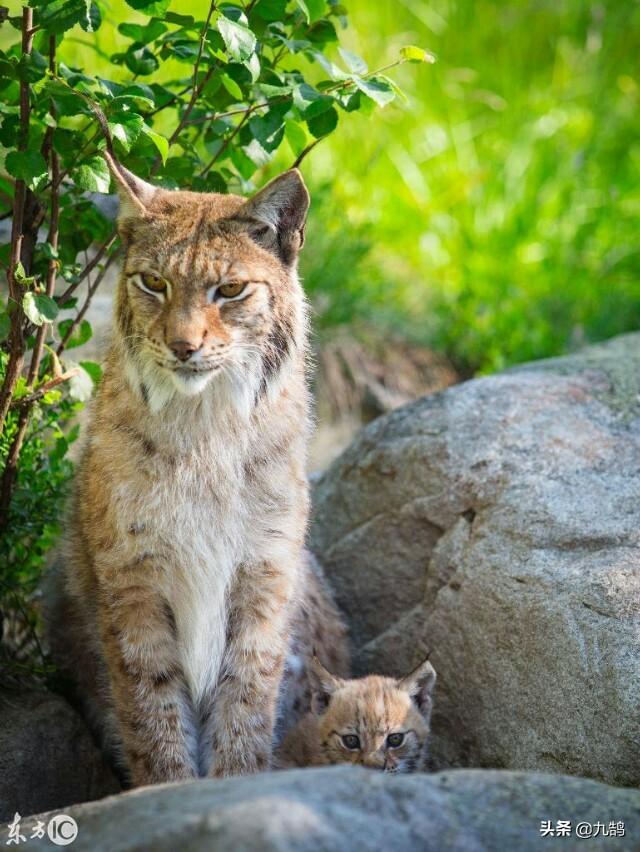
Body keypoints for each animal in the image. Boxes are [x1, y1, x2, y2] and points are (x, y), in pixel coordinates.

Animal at [47, 158, 348, 784]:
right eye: (153, 283)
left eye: (230, 289)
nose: (183, 347)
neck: (205, 424)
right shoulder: (132, 578)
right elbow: (151, 713)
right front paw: (169, 792)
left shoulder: (264, 572)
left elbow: (246, 705)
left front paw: (233, 788)